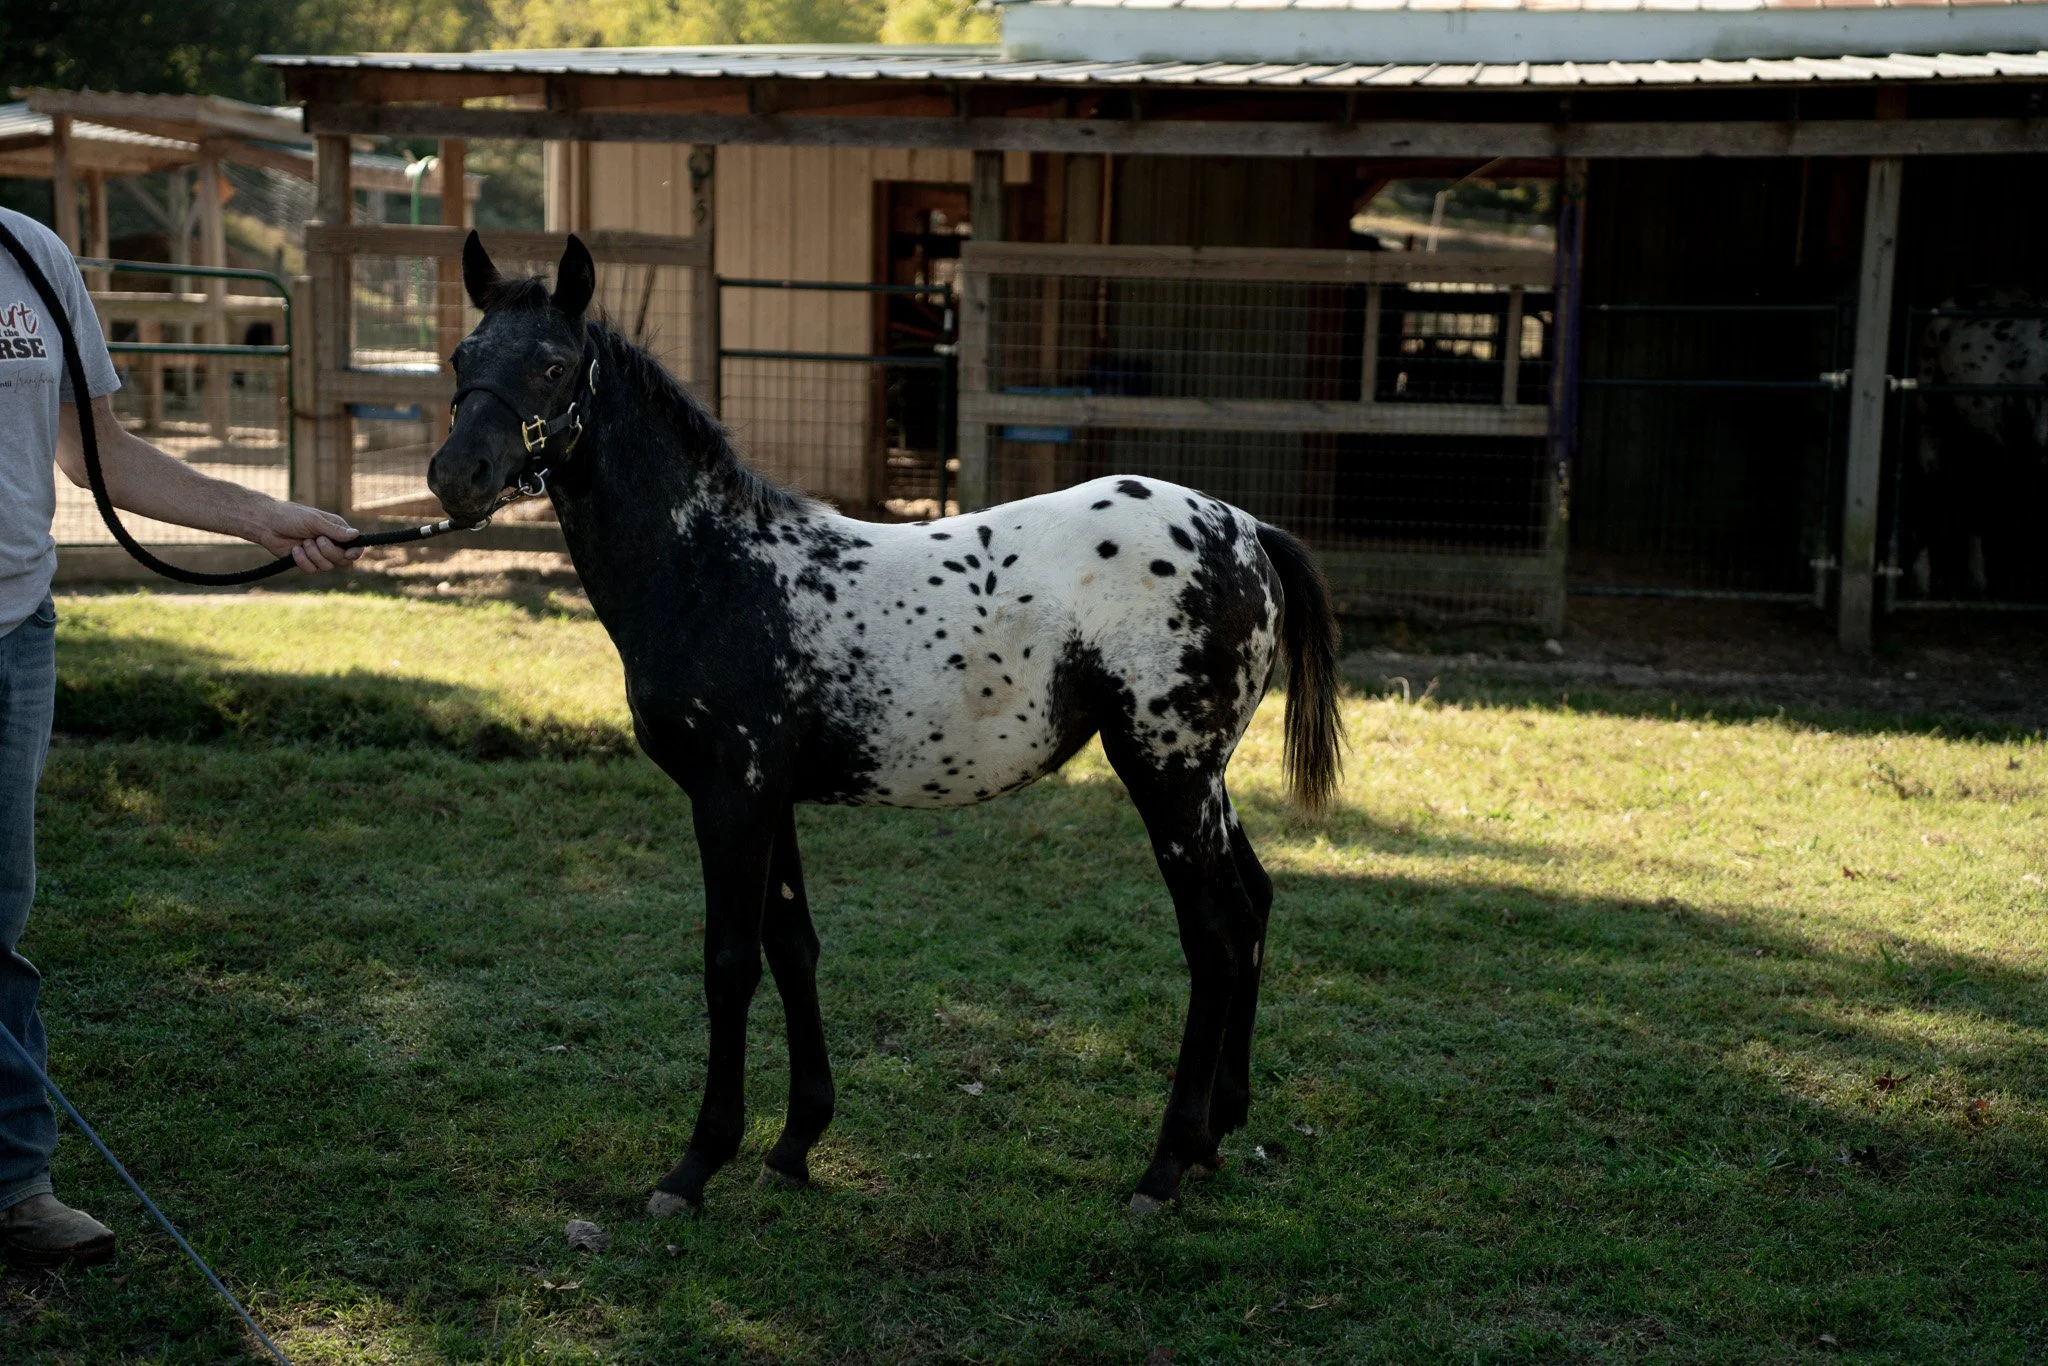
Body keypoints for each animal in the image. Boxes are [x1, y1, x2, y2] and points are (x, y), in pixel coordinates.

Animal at [427, 234, 1343, 1217]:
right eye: (462, 359)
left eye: (553, 366)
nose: (454, 478)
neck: (711, 568)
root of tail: (1245, 528)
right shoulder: (771, 799)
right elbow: (793, 947)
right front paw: (794, 1143)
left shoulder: (730, 795)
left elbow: (728, 961)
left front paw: (696, 1165)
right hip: (1203, 780)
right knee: (1255, 902)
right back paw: (1217, 1131)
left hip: (1166, 774)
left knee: (1214, 937)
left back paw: (1164, 1166)